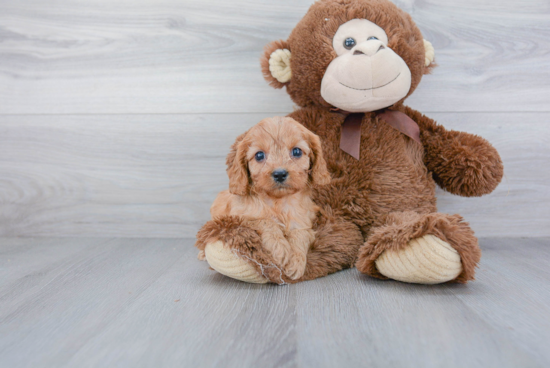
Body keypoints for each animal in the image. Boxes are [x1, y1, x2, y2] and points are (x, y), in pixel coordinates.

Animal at [201, 116, 330, 280]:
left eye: (296, 151)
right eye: (259, 155)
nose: (280, 174)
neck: (278, 201)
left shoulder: (304, 221)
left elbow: (300, 234)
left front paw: (296, 262)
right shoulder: (239, 217)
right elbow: (265, 221)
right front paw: (281, 249)